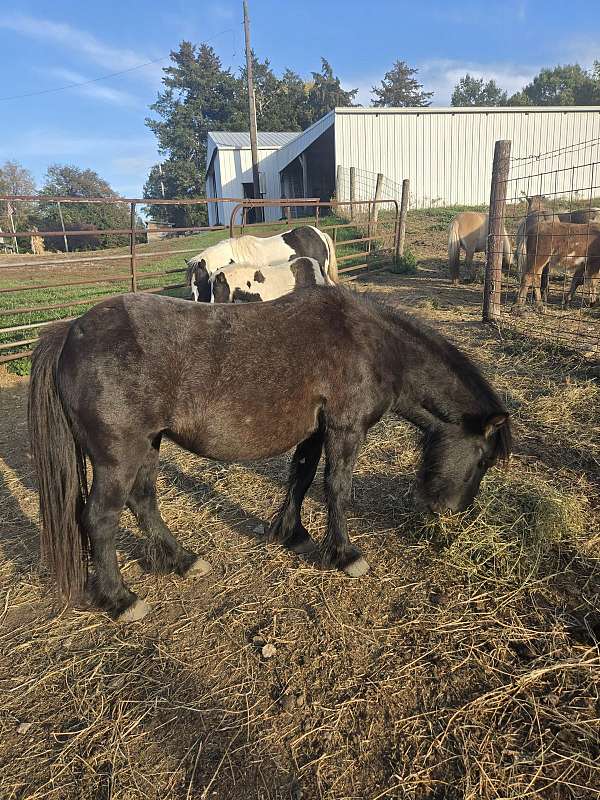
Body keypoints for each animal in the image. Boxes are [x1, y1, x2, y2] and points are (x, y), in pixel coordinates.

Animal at [28, 288, 511, 621]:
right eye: (484, 459)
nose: (450, 513)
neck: (372, 345)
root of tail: (70, 334)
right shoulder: (345, 429)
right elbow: (337, 489)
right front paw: (345, 554)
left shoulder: (316, 432)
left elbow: (301, 477)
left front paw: (293, 533)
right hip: (119, 456)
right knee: (101, 519)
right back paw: (121, 599)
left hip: (148, 445)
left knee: (143, 500)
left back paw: (183, 560)